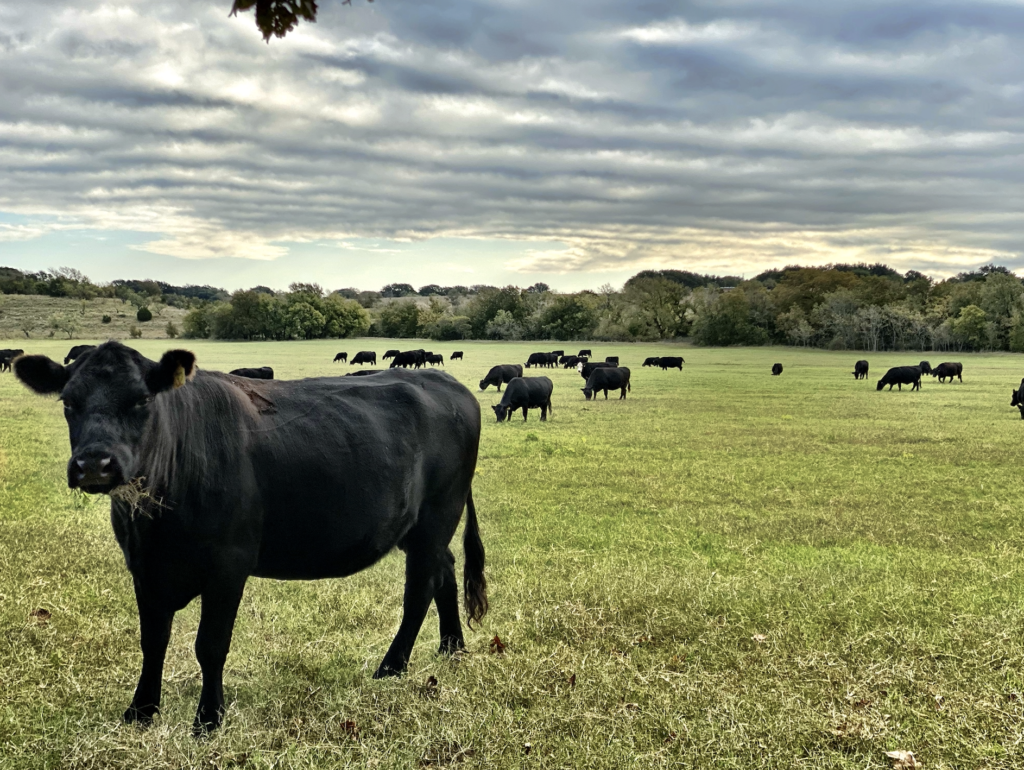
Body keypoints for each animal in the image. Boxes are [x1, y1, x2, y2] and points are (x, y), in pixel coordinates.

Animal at [11, 341, 483, 733]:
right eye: (69, 402)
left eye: (142, 399)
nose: (94, 463)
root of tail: (447, 383)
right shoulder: (144, 567)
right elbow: (152, 641)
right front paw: (141, 711)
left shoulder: (228, 564)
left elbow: (210, 645)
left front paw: (208, 719)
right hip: (420, 528)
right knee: (445, 572)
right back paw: (451, 646)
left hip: (437, 517)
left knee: (419, 590)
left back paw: (392, 667)